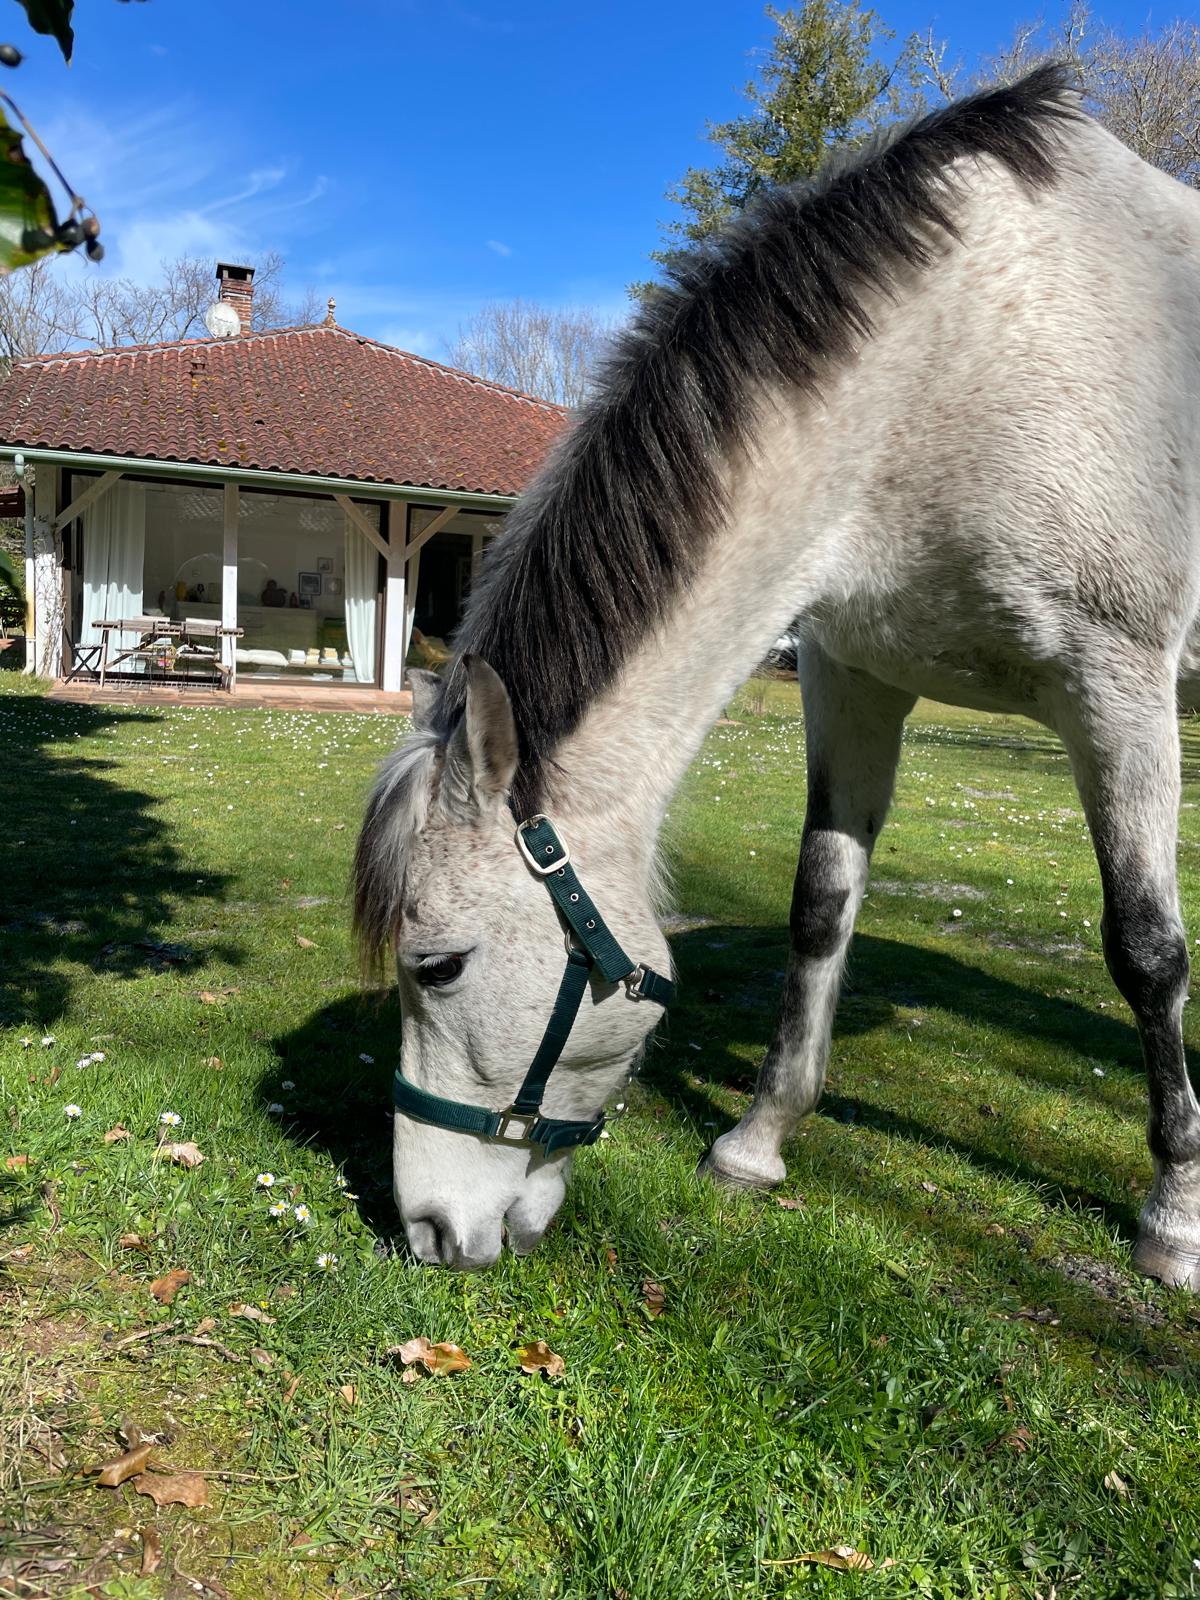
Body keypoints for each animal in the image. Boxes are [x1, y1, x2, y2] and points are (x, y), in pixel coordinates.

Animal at [354, 64, 1200, 1283]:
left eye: (439, 967)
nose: (426, 1230)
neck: (960, 362)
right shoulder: (852, 676)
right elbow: (820, 909)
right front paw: (760, 1137)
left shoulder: (1118, 687)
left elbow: (1146, 952)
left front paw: (1175, 1211)